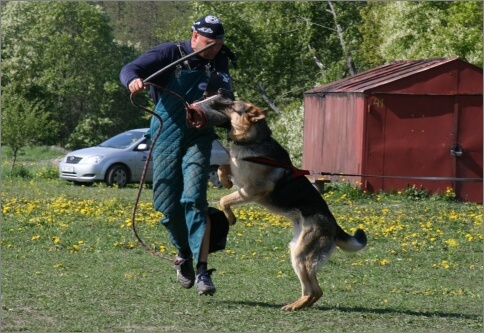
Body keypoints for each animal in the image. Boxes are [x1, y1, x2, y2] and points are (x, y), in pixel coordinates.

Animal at [201, 97, 366, 310]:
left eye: (232, 105)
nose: (220, 95)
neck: (253, 140)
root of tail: (333, 225)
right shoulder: (239, 174)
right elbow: (224, 165)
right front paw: (225, 180)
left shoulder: (252, 190)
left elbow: (224, 199)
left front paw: (230, 217)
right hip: (296, 253)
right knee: (314, 291)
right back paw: (298, 304)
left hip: (302, 256)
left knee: (315, 291)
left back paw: (294, 306)